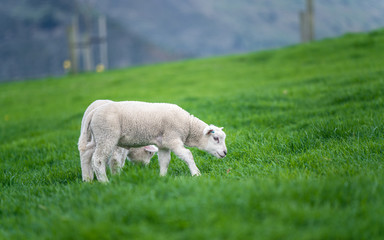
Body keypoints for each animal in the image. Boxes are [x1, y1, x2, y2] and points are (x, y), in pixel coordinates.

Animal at [79, 101, 228, 182]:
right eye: (216, 138)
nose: (225, 153)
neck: (188, 126)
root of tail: (93, 112)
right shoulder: (172, 138)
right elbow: (187, 155)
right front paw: (196, 174)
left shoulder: (164, 144)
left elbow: (164, 161)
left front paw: (162, 177)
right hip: (107, 135)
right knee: (98, 160)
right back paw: (104, 182)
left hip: (96, 138)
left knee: (86, 155)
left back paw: (87, 180)